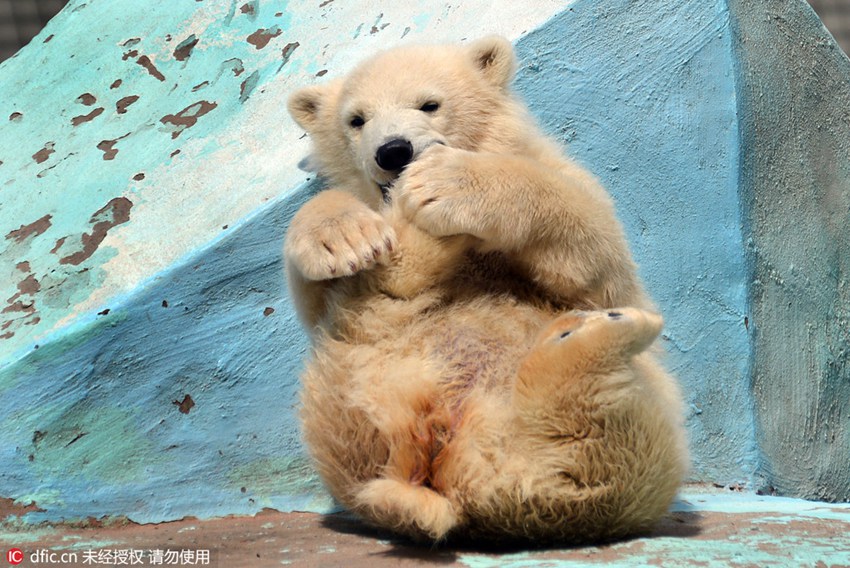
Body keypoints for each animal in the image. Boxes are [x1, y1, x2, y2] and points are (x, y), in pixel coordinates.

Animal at [284, 36, 688, 543]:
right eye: (356, 119)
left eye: (429, 104)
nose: (393, 152)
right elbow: (315, 293)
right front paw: (344, 238)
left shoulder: (567, 185)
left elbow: (594, 248)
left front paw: (445, 185)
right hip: (353, 391)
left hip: (634, 453)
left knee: (595, 449)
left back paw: (602, 331)